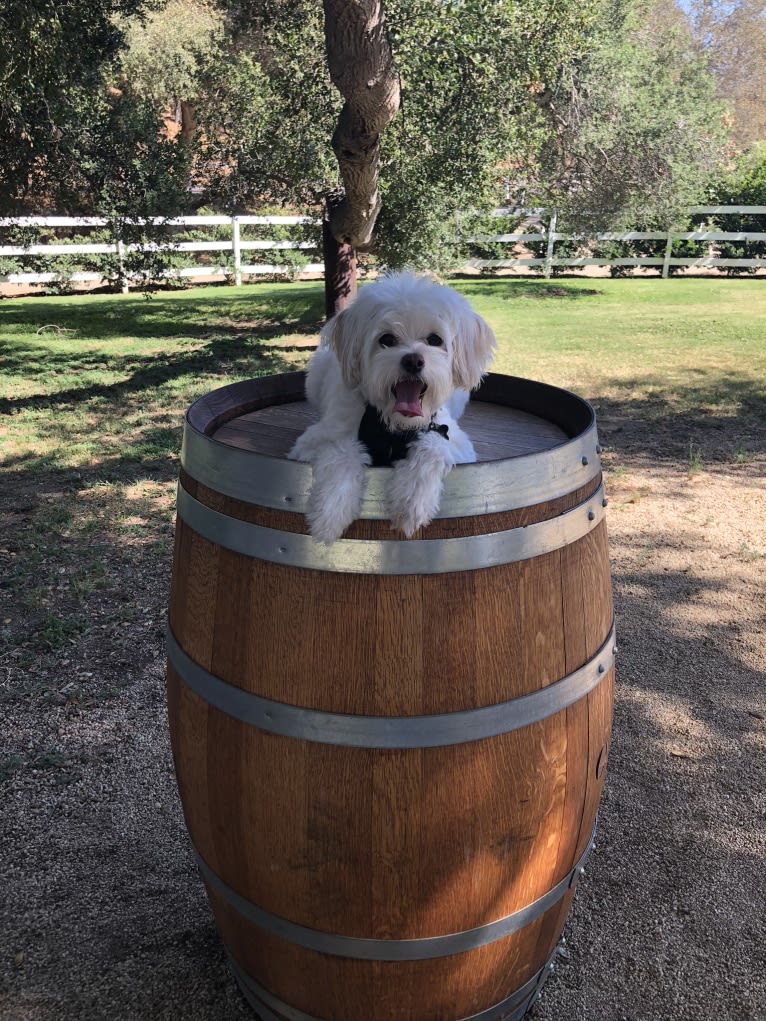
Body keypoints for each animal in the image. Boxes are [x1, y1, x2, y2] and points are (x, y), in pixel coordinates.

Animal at [290, 271, 498, 543]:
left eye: (434, 339)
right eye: (387, 339)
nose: (413, 360)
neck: (392, 425)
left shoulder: (455, 441)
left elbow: (433, 446)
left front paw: (412, 502)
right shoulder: (312, 441)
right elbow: (341, 451)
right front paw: (330, 513)